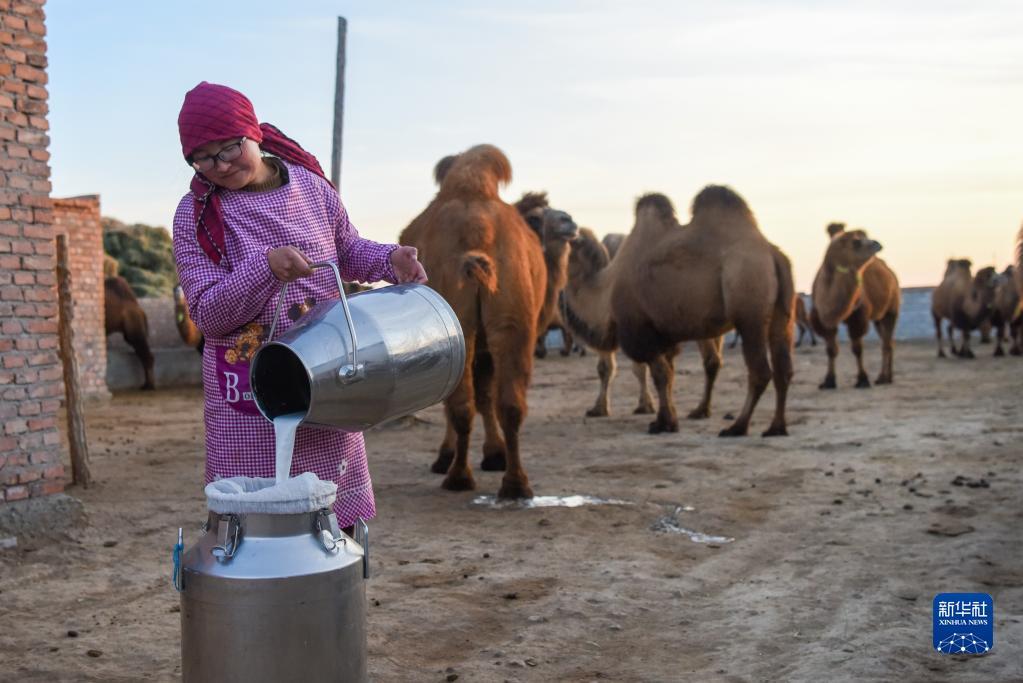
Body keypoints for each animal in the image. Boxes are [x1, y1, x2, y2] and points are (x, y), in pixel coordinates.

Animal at [398, 145, 548, 496]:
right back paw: (512, 484)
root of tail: (478, 229)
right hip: (511, 317)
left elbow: (477, 396)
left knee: (465, 403)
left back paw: (460, 476)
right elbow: (484, 396)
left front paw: (463, 455)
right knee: (507, 403)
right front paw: (492, 455)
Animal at [560, 185, 789, 437]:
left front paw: (664, 423)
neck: (606, 289)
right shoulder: (664, 334)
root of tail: (772, 253)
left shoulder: (641, 330)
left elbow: (660, 374)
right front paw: (666, 419)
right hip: (781, 313)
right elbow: (669, 375)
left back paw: (737, 426)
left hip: (748, 305)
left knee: (760, 370)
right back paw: (776, 427)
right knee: (784, 369)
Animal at [810, 222, 900, 384]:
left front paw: (863, 379)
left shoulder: (858, 315)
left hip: (892, 309)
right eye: (856, 242)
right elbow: (831, 349)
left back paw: (885, 378)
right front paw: (829, 380)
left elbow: (857, 348)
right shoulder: (822, 319)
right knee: (887, 340)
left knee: (887, 343)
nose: (877, 244)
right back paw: (883, 377)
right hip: (878, 318)